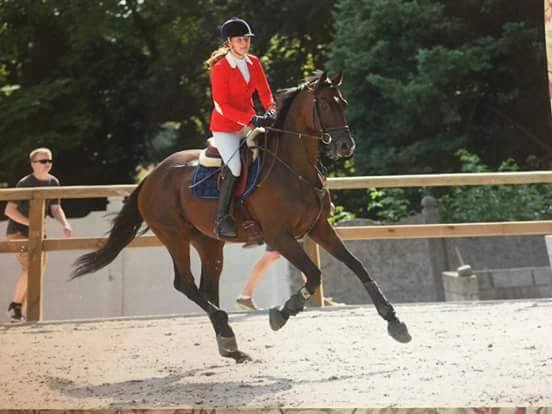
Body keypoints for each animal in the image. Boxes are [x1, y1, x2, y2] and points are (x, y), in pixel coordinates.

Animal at [72, 71, 410, 362]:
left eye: (344, 103)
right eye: (325, 104)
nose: (345, 147)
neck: (294, 168)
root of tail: (152, 175)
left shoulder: (318, 228)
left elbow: (357, 265)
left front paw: (395, 322)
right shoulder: (279, 236)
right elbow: (314, 275)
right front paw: (283, 312)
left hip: (209, 242)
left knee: (206, 287)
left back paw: (229, 343)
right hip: (174, 236)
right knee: (185, 283)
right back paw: (226, 329)